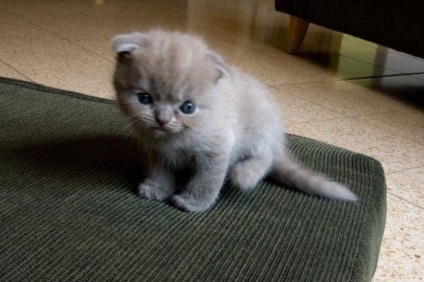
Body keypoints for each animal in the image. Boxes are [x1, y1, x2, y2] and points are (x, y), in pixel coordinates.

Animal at [112, 30, 358, 212]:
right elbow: (160, 171)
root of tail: (277, 136)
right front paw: (156, 189)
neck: (173, 139)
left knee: (266, 159)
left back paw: (244, 174)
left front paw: (194, 203)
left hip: (259, 135)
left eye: (188, 107)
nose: (162, 120)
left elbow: (208, 180)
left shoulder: (217, 148)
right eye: (144, 98)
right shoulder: (157, 152)